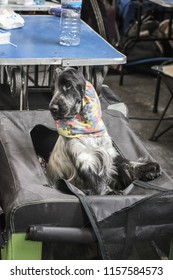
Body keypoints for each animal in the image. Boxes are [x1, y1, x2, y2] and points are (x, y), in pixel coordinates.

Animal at [46, 67, 161, 196]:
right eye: (53, 89)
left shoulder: (109, 151)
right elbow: (97, 181)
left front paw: (148, 170)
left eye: (68, 85)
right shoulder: (84, 159)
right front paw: (111, 193)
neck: (88, 130)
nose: (53, 108)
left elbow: (126, 164)